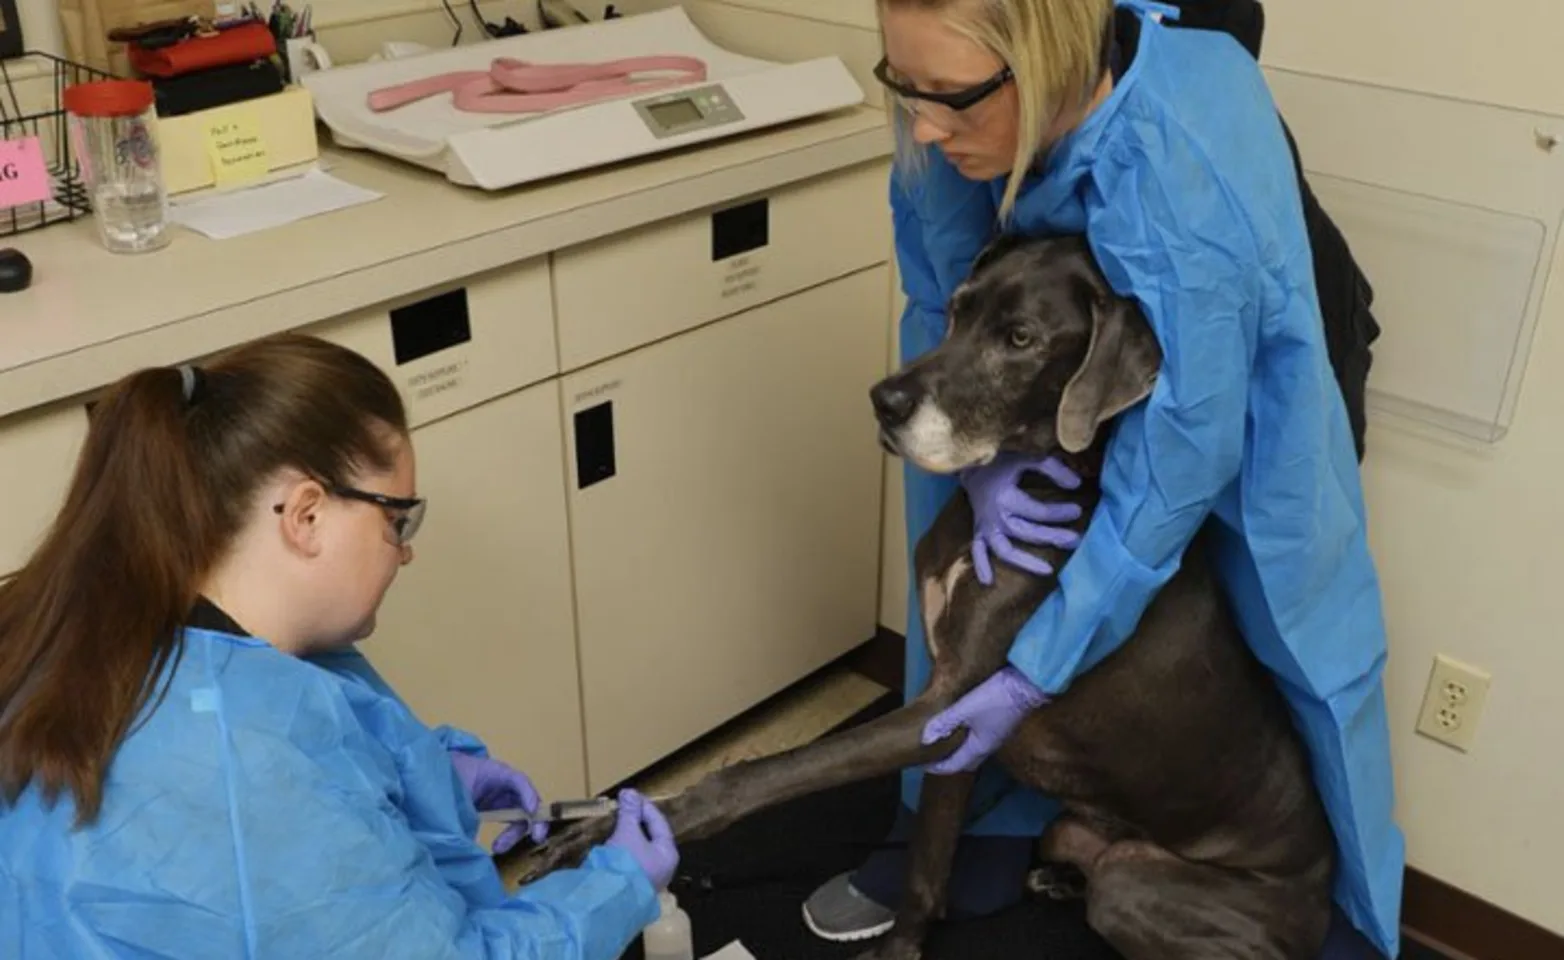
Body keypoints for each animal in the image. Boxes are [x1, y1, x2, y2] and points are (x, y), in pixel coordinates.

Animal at [509, 232, 1332, 960]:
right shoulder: (962, 729)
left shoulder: (953, 706)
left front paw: (617, 832)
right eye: (959, 308)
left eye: (1022, 338)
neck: (1024, 488)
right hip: (1077, 831)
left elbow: (760, 775)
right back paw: (1054, 878)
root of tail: (1322, 903)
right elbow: (927, 866)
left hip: (1145, 891)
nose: (883, 399)